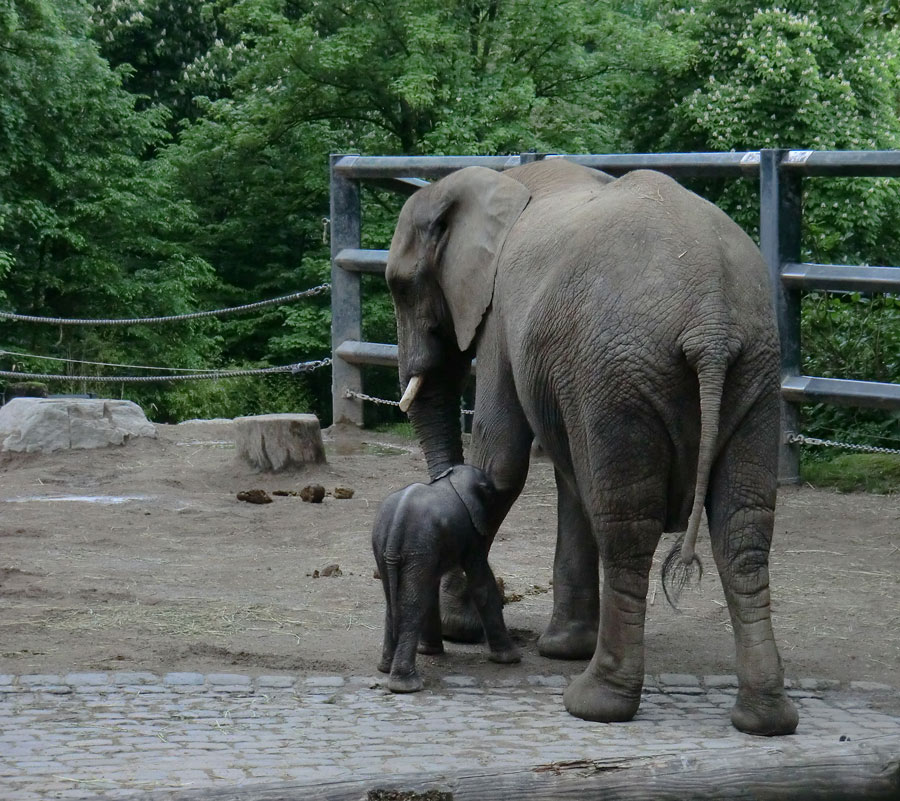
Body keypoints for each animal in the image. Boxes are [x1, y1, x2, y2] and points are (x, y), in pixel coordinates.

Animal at [370, 462, 520, 692]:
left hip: (385, 543)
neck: (452, 477)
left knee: (393, 600)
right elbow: (481, 583)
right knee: (413, 604)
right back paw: (406, 686)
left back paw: (386, 669)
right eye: (493, 499)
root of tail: (398, 518)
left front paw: (431, 652)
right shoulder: (471, 533)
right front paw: (511, 659)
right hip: (417, 544)